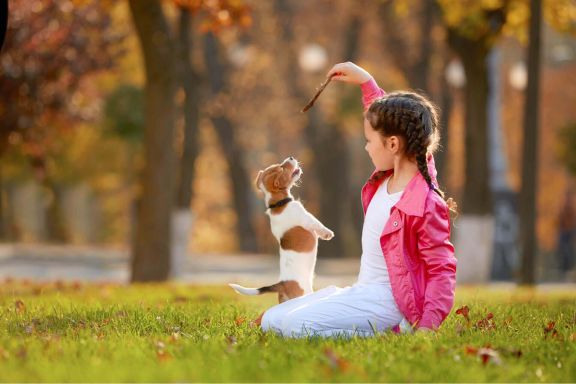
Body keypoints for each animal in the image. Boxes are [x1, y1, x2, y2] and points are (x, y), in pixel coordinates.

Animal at [227, 156, 330, 304]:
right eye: (281, 168)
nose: (291, 157)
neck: (278, 203)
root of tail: (282, 284)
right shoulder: (306, 218)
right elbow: (318, 224)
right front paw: (328, 234)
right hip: (305, 293)